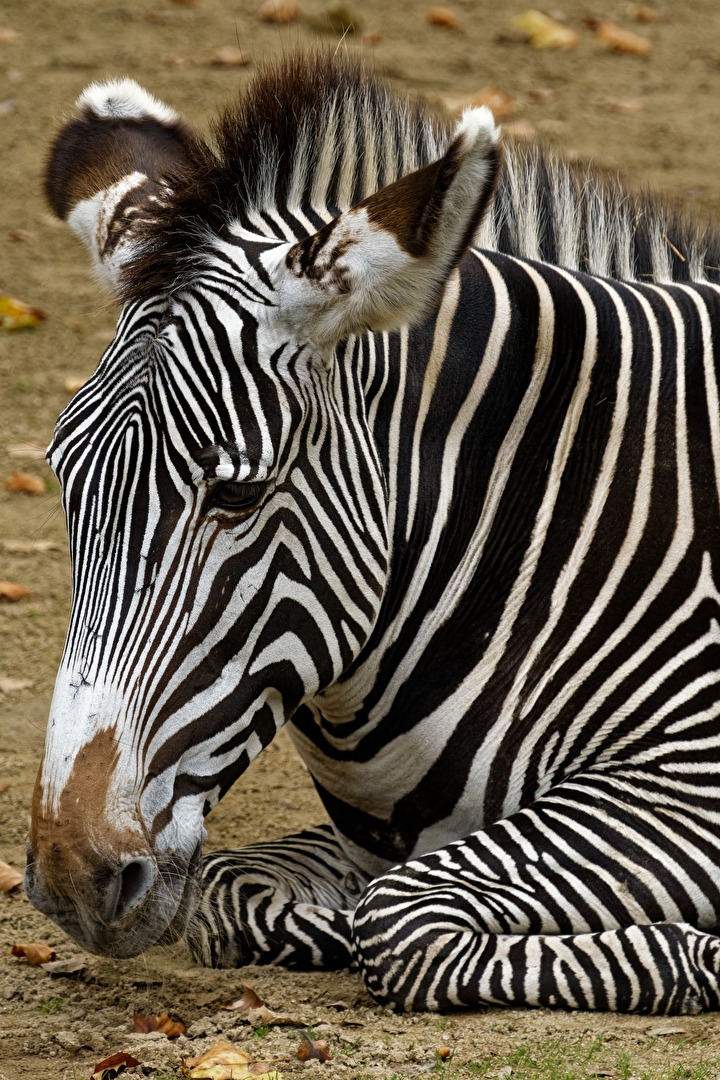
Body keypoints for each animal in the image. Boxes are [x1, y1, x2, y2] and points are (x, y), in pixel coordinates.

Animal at [25, 52, 720, 1015]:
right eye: (64, 478)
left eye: (236, 494)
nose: (71, 878)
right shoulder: (382, 834)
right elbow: (234, 893)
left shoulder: (692, 776)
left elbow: (395, 920)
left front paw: (702, 952)